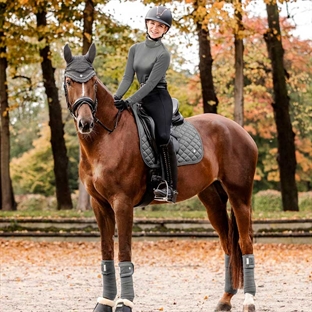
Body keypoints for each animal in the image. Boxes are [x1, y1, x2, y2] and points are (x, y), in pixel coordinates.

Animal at [63, 43, 258, 312]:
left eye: (92, 81)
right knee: (228, 243)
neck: (106, 138)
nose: (85, 123)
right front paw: (104, 302)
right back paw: (225, 299)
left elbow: (124, 253)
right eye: (69, 81)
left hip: (240, 196)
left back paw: (249, 301)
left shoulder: (122, 203)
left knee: (245, 242)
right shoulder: (99, 205)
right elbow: (106, 254)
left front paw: (125, 302)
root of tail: (239, 130)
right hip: (212, 200)